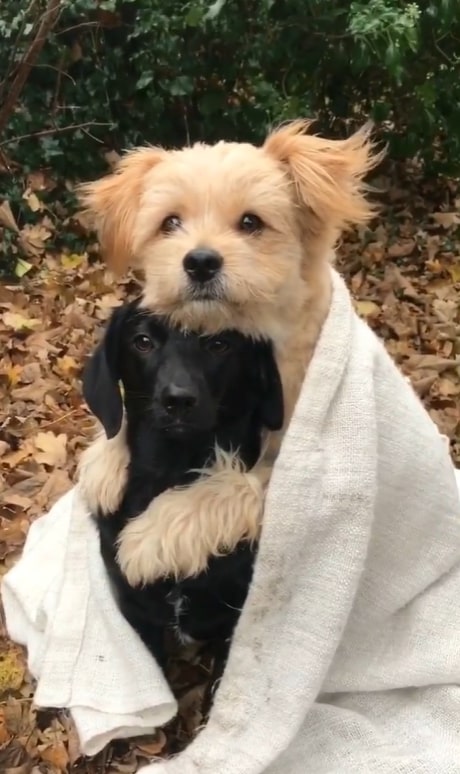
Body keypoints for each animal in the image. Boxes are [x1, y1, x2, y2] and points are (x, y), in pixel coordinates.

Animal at [78, 121, 380, 584]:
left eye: (251, 222)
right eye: (170, 222)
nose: (200, 262)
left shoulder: (294, 477)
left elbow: (236, 485)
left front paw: (150, 537)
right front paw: (104, 460)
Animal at [82, 302, 284, 708]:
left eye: (219, 343)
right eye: (142, 341)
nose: (178, 399)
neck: (173, 473)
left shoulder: (238, 617)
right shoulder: (135, 610)